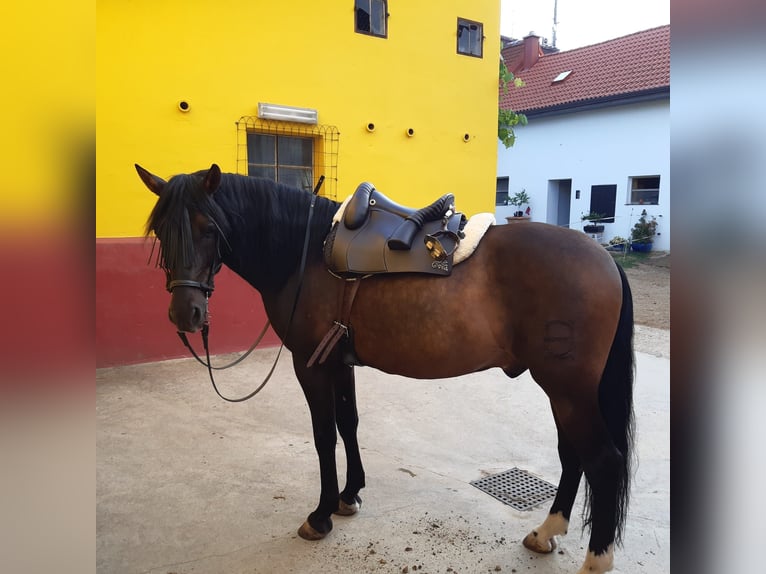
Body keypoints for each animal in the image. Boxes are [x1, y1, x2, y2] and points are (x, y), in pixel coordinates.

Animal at [136, 163, 635, 574]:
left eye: (208, 228)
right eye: (160, 229)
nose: (185, 314)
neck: (304, 251)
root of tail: (605, 260)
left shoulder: (310, 363)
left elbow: (323, 435)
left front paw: (320, 515)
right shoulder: (338, 361)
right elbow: (349, 423)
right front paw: (349, 495)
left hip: (567, 389)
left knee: (602, 460)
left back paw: (596, 560)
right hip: (564, 390)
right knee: (573, 456)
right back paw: (546, 532)